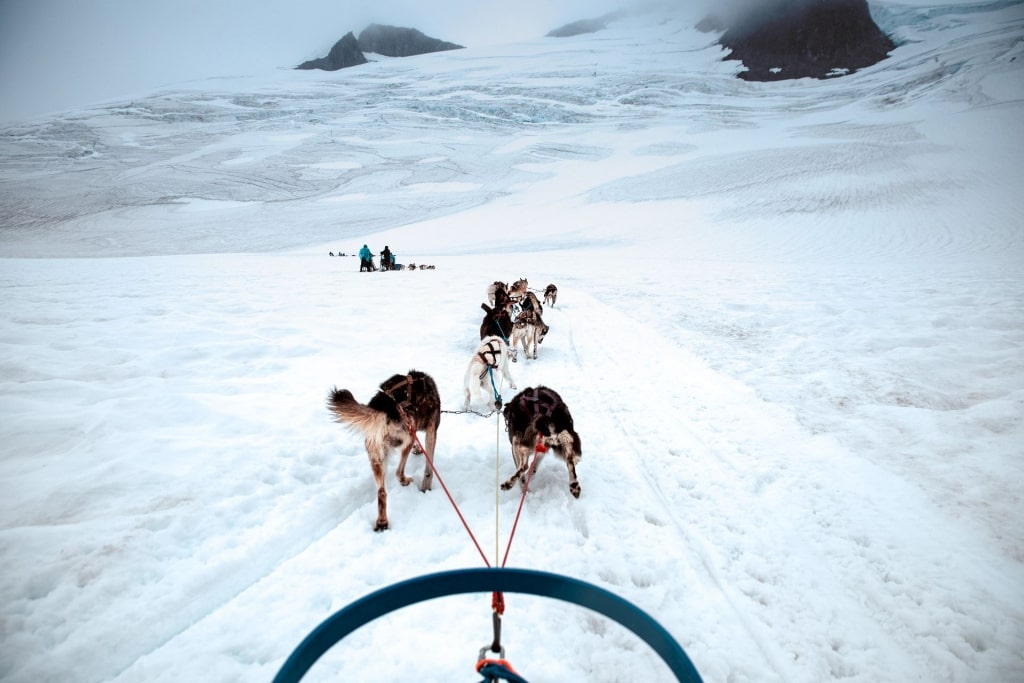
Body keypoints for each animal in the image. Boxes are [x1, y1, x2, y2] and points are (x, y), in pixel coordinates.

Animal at [327, 370, 440, 532]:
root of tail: (383, 409)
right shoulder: (431, 431)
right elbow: (428, 470)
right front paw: (426, 487)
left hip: (376, 457)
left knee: (381, 492)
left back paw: (382, 522)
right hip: (407, 438)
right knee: (398, 472)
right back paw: (405, 481)